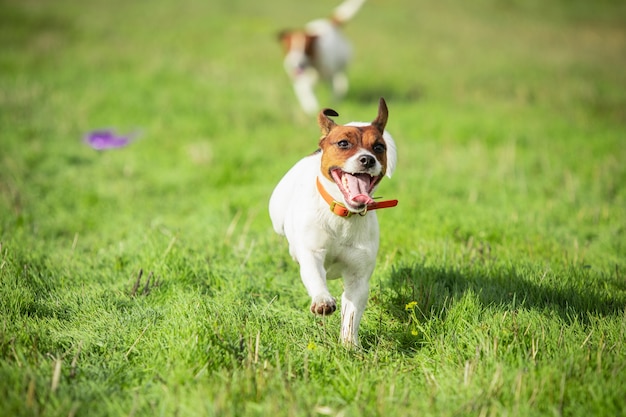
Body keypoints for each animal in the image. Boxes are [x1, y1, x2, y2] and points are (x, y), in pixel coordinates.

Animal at [266, 97, 394, 344]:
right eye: (343, 143)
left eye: (379, 147)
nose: (367, 159)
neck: (344, 214)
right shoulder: (312, 254)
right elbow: (315, 276)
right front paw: (323, 301)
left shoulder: (358, 276)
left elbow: (351, 312)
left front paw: (349, 344)